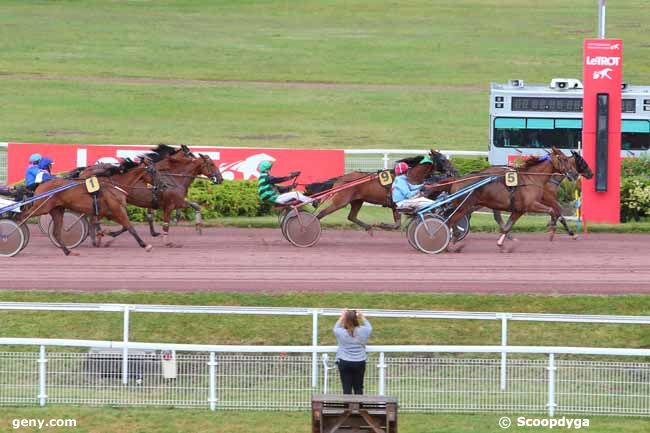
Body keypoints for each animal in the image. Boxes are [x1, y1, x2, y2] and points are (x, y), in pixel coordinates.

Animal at [18, 158, 156, 253]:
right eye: (154, 171)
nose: (158, 186)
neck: (114, 185)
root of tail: (40, 185)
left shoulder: (106, 211)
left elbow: (119, 226)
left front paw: (103, 236)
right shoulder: (116, 209)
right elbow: (129, 227)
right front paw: (145, 245)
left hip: (56, 209)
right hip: (42, 207)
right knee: (23, 215)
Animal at [302, 150, 456, 235]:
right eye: (443, 159)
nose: (454, 170)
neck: (410, 176)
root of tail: (342, 178)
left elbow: (398, 223)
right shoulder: (396, 203)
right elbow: (396, 224)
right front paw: (381, 225)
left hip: (357, 200)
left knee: (351, 216)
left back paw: (369, 228)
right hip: (341, 200)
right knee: (321, 213)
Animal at [426, 148, 576, 251]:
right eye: (564, 159)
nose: (574, 173)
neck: (531, 178)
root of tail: (456, 180)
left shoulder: (518, 210)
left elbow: (507, 226)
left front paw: (502, 244)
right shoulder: (530, 205)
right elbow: (551, 210)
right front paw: (552, 230)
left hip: (465, 206)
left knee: (451, 221)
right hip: (464, 206)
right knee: (449, 221)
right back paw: (445, 242)